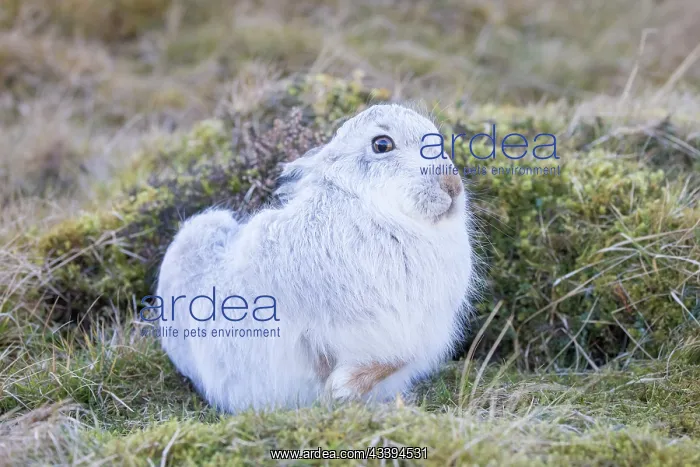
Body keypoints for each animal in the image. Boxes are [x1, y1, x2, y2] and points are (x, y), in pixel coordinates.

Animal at [155, 103, 478, 413]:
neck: (380, 211)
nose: (452, 186)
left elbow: (394, 361)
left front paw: (344, 387)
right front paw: (340, 386)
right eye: (382, 144)